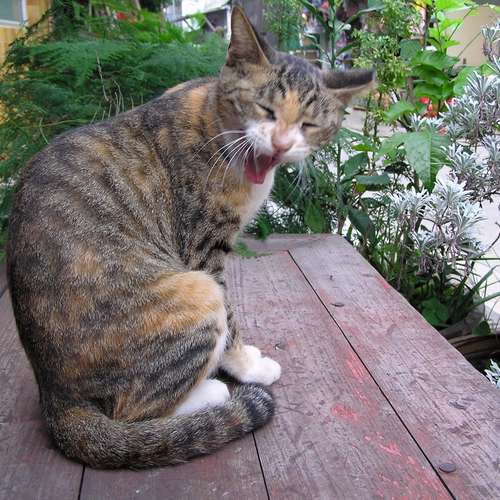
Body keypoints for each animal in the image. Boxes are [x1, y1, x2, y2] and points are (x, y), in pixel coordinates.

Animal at [6, 6, 373, 468]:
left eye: (309, 124)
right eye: (265, 109)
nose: (281, 143)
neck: (219, 123)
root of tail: (56, 397)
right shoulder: (204, 247)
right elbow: (231, 322)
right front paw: (246, 365)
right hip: (194, 293)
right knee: (134, 410)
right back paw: (211, 393)